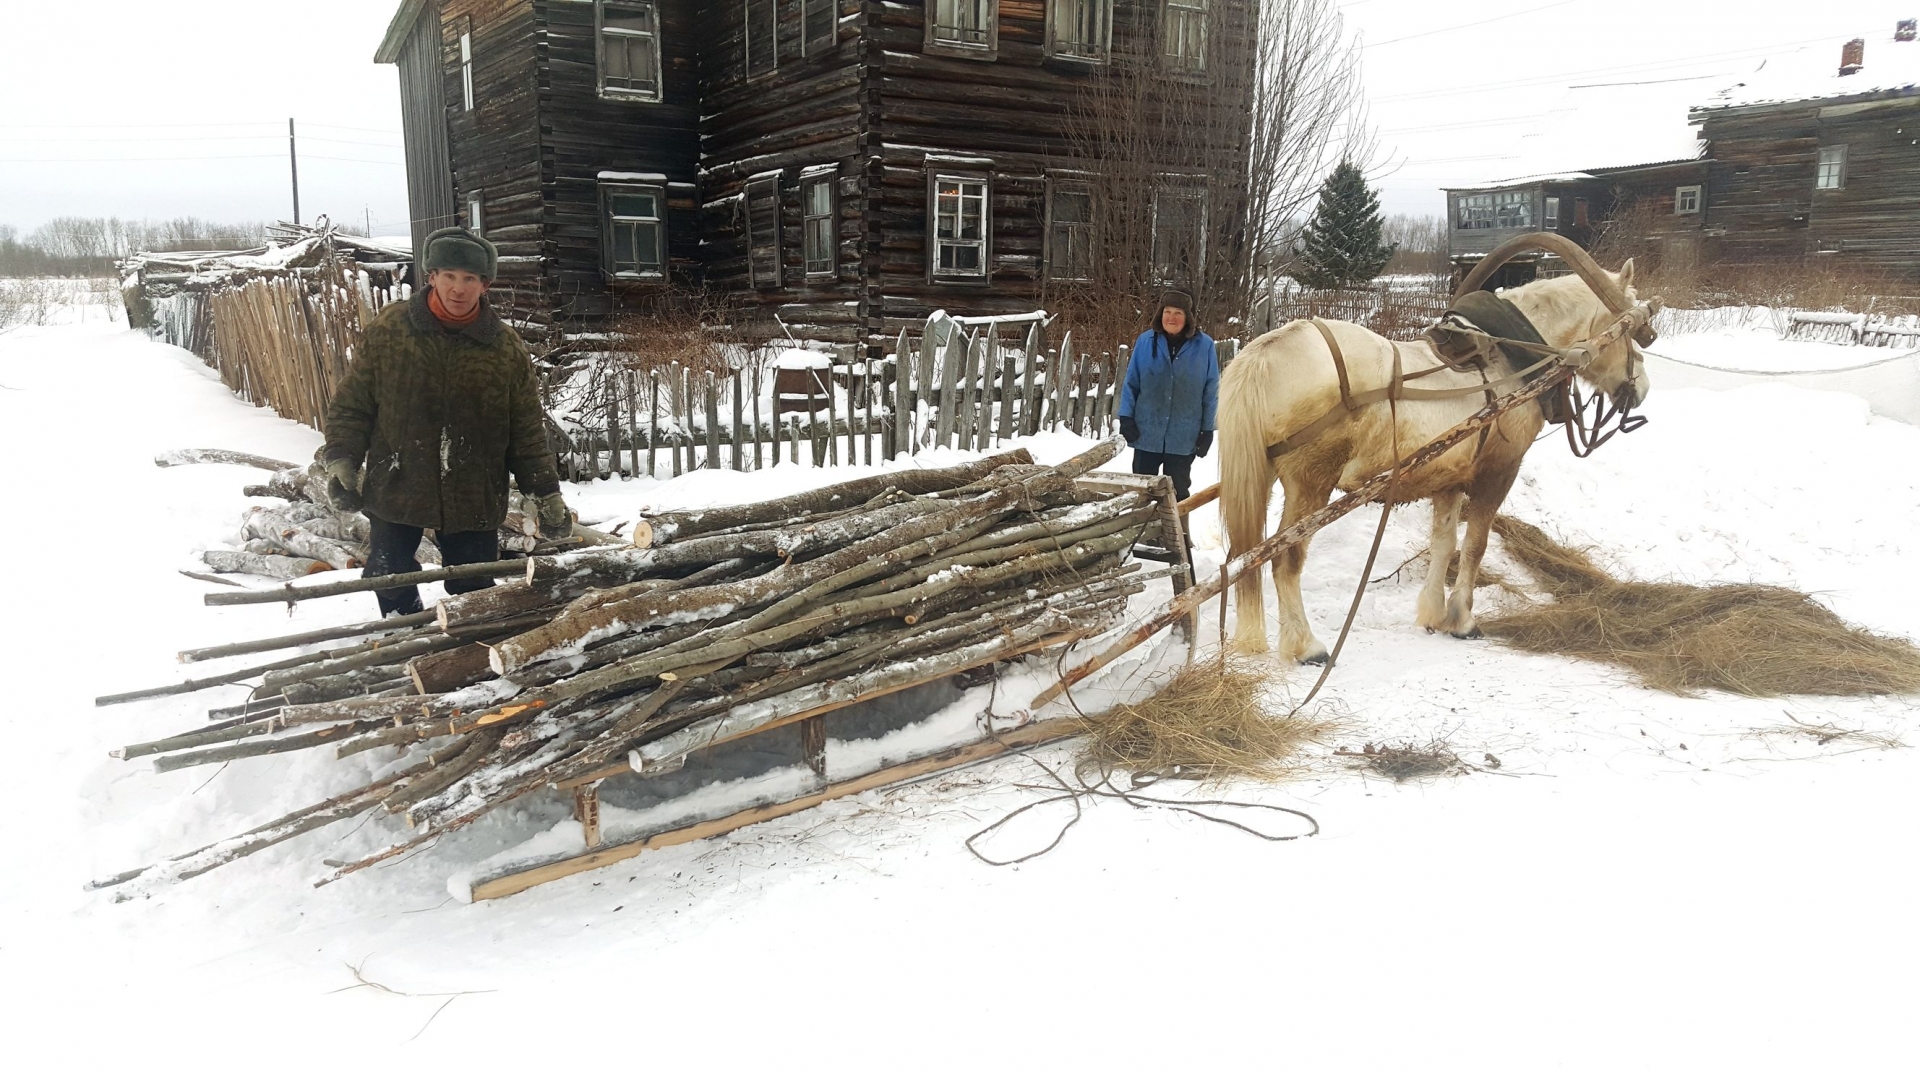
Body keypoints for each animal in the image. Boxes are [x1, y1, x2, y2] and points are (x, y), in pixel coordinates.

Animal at [1213, 263, 1651, 664]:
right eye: (1631, 329)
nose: (1642, 389)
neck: (1508, 362)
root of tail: (1265, 350)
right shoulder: (1498, 471)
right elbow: (1475, 545)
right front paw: (1462, 620)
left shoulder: (1449, 479)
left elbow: (1445, 544)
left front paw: (1433, 614)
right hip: (1310, 484)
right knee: (1284, 558)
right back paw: (1307, 647)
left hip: (1263, 476)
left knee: (1247, 556)